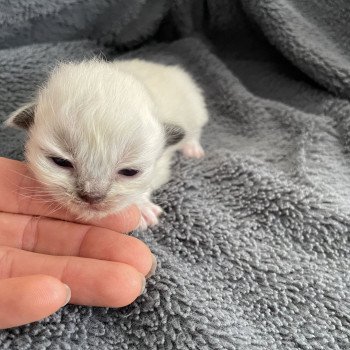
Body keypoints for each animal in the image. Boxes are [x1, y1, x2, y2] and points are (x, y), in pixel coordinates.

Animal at [6, 59, 208, 230]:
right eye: (60, 161)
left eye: (130, 172)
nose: (92, 197)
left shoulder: (160, 167)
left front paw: (142, 208)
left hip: (194, 107)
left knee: (194, 131)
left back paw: (193, 149)